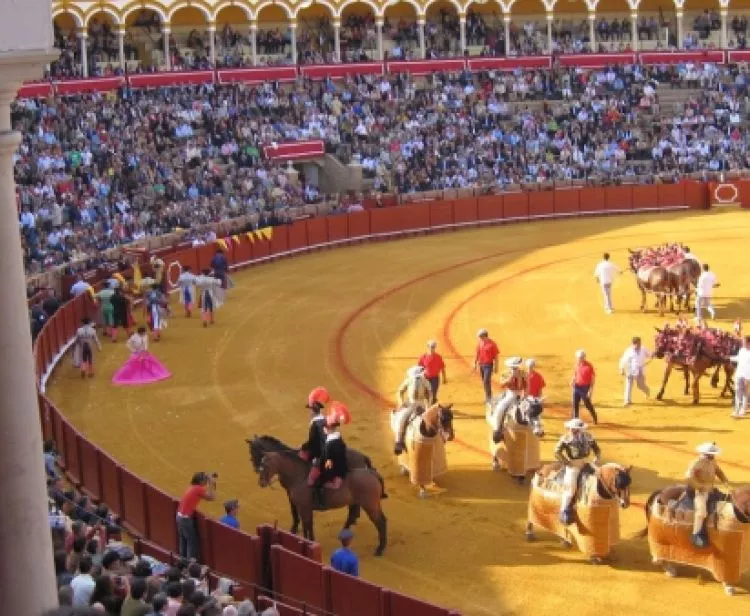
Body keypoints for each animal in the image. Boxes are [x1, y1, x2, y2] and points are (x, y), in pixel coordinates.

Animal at [258, 450, 388, 556]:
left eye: (266, 465)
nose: (262, 483)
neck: (300, 477)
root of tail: (372, 473)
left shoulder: (303, 508)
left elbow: (306, 524)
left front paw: (308, 541)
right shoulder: (305, 508)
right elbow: (308, 525)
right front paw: (310, 540)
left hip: (370, 506)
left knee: (380, 522)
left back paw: (380, 549)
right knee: (364, 516)